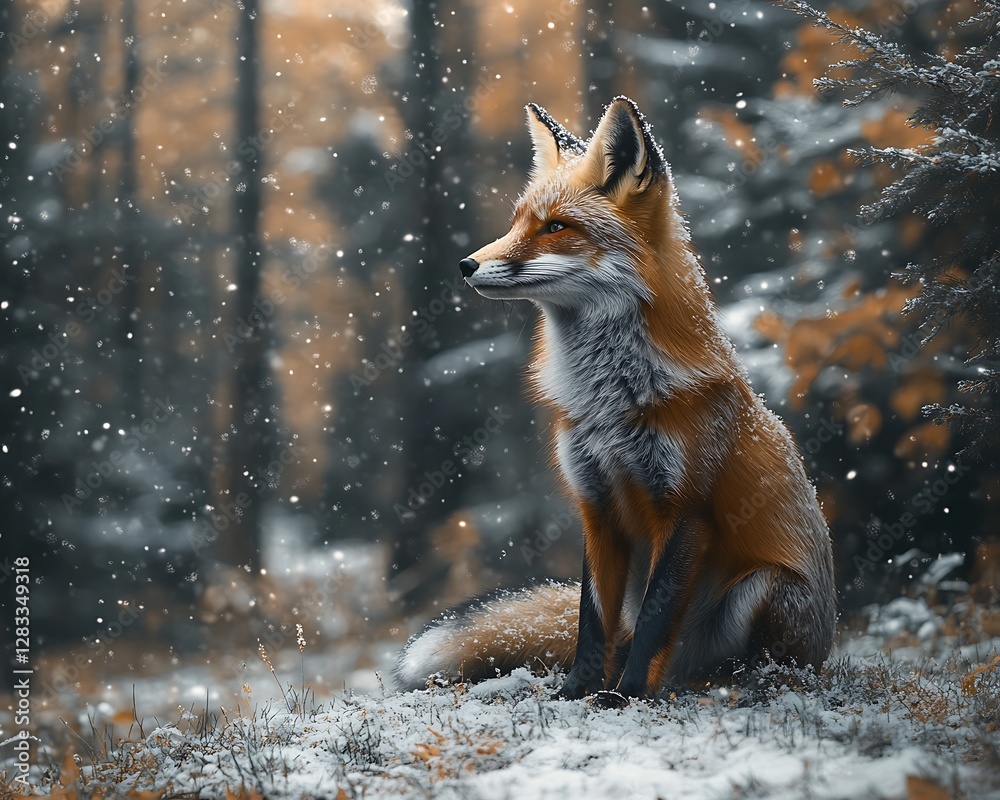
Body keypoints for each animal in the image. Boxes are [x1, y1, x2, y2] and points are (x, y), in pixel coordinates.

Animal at [395, 97, 836, 703]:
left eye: (556, 227)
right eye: (517, 222)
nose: (466, 265)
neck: (610, 403)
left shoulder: (686, 511)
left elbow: (654, 617)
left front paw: (624, 695)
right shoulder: (596, 505)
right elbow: (591, 619)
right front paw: (576, 692)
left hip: (765, 588)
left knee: (730, 662)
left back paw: (724, 684)